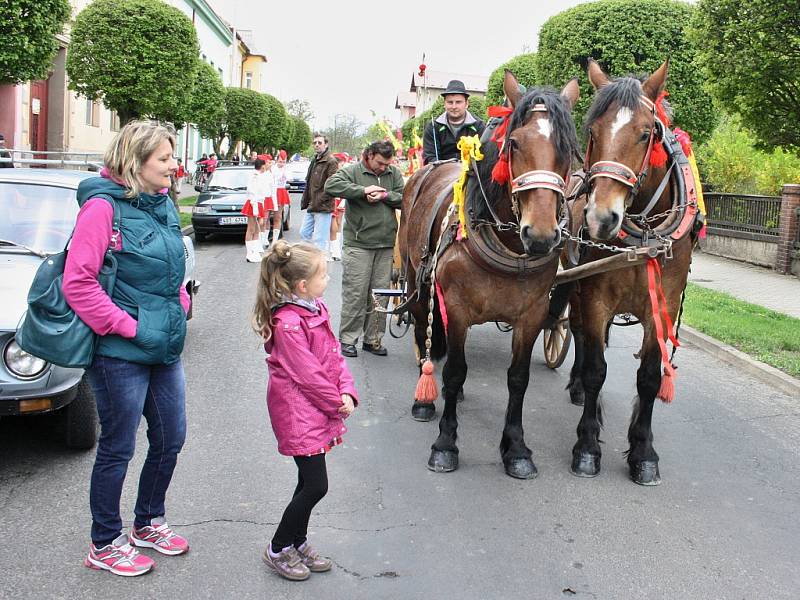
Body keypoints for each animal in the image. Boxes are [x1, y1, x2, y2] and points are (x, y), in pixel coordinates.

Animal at [404, 71, 580, 478]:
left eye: (568, 146)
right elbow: (455, 371)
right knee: (422, 328)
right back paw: (424, 396)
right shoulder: (457, 307)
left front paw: (515, 448)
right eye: (513, 143)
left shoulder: (531, 315)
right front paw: (445, 444)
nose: (541, 235)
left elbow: (518, 378)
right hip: (415, 280)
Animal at [556, 58, 700, 486]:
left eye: (646, 133)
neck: (643, 239)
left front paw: (643, 452)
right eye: (592, 131)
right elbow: (596, 369)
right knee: (582, 338)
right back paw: (579, 389)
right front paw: (587, 447)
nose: (601, 218)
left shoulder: (661, 305)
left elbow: (650, 377)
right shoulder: (595, 296)